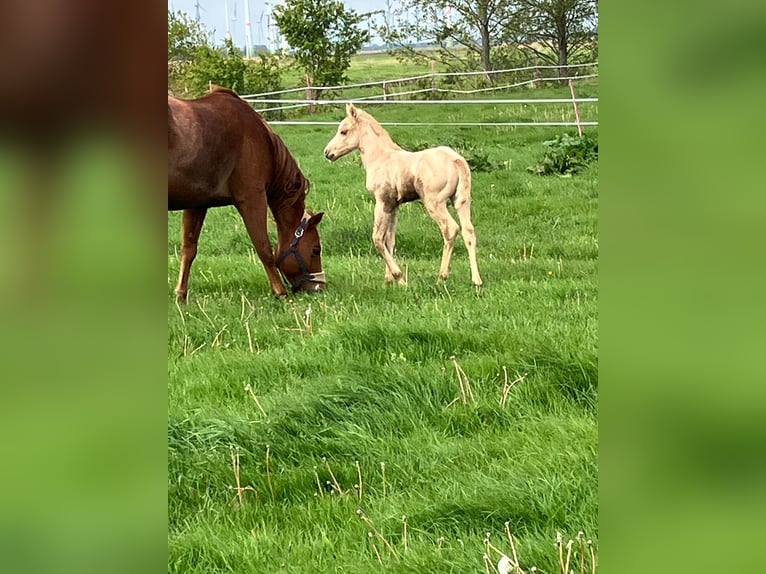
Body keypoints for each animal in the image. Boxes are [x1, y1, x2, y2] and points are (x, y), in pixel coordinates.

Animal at [168, 87, 326, 301]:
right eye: (316, 249)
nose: (319, 286)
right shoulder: (253, 198)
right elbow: (264, 248)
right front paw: (280, 292)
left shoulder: (197, 204)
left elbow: (189, 249)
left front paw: (181, 295)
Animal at [323, 104, 482, 287]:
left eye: (344, 131)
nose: (327, 152)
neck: (381, 158)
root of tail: (455, 160)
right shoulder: (394, 205)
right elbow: (389, 240)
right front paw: (388, 280)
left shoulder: (382, 202)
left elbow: (378, 238)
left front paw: (399, 277)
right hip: (461, 200)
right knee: (468, 231)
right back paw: (476, 280)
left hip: (434, 202)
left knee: (450, 229)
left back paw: (441, 276)